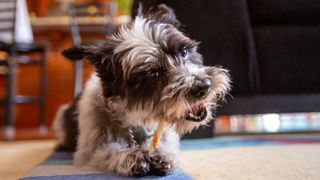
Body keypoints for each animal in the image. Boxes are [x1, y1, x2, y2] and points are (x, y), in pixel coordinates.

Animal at [53, 4, 231, 177]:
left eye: (184, 51)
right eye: (152, 73)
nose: (204, 86)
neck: (138, 119)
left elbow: (165, 146)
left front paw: (161, 154)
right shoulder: (88, 152)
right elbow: (108, 150)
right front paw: (131, 156)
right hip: (60, 115)